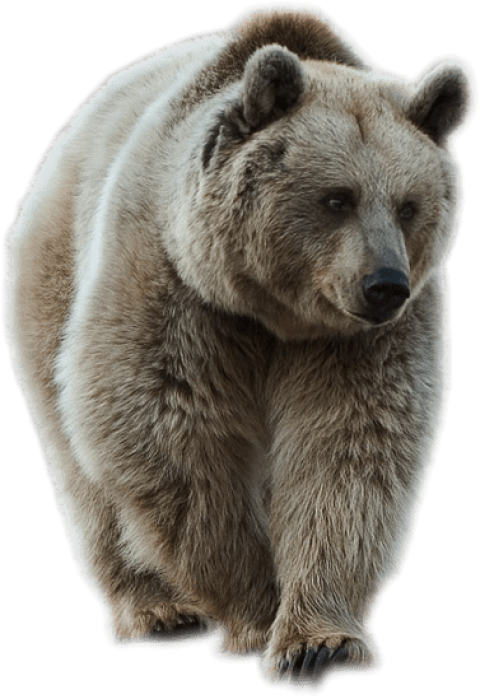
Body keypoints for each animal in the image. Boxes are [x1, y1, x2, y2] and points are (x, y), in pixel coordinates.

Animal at [4, 3, 476, 687]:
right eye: (337, 198)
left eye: (409, 204)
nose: (383, 284)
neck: (274, 313)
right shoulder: (178, 292)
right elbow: (170, 435)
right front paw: (255, 614)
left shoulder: (360, 342)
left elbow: (349, 452)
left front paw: (319, 641)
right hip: (55, 276)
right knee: (85, 472)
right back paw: (154, 609)